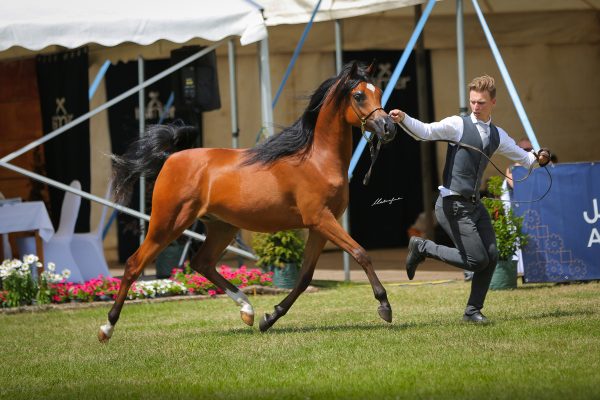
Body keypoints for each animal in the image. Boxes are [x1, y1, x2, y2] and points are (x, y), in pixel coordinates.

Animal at [97, 61, 398, 342]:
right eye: (359, 95)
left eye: (379, 91)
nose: (388, 127)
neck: (318, 161)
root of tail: (171, 158)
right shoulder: (321, 219)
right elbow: (360, 253)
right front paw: (385, 307)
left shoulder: (320, 226)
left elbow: (304, 277)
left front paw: (269, 318)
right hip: (167, 223)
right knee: (134, 265)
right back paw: (106, 328)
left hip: (221, 227)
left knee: (202, 263)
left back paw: (248, 310)